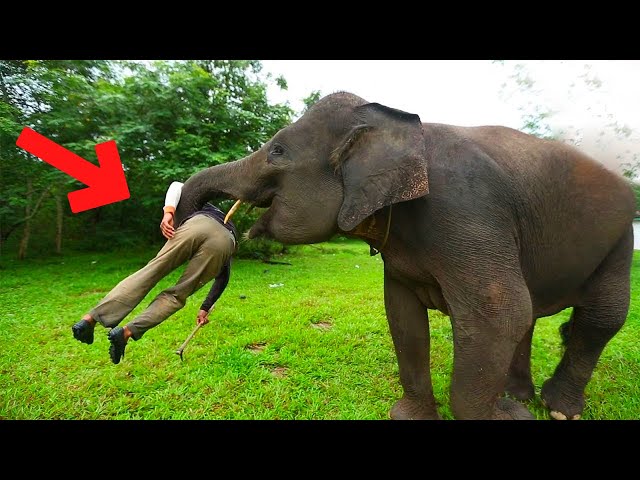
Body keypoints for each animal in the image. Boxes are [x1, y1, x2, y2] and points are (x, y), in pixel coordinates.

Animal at [174, 91, 635, 420]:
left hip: (621, 240)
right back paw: (516, 395)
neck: (398, 126)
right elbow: (402, 314)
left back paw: (556, 410)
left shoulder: (467, 209)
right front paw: (415, 416)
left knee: (600, 316)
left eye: (277, 152)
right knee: (534, 316)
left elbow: (498, 312)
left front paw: (506, 416)